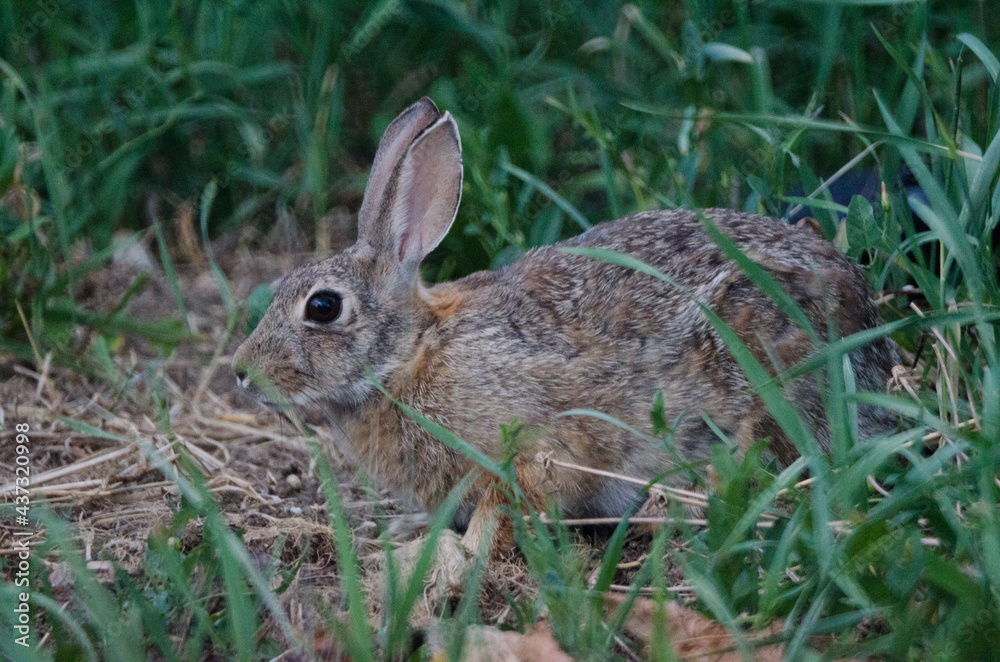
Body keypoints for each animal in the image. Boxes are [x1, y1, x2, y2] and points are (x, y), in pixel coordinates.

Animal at [232, 97, 898, 563]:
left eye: (323, 307)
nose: (241, 373)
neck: (411, 354)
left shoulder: (529, 449)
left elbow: (506, 506)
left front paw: (454, 554)